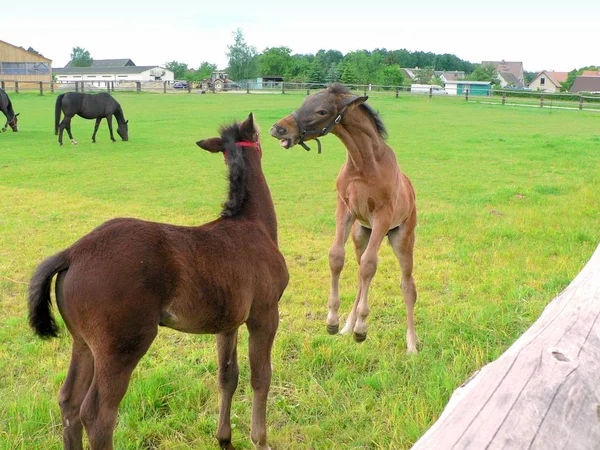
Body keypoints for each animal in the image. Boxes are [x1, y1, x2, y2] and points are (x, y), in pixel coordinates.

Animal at [29, 113, 290, 450]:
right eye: (257, 136)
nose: (278, 132)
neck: (252, 224)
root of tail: (73, 252)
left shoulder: (227, 322)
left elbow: (227, 376)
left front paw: (224, 439)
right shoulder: (264, 314)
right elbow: (261, 377)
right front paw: (260, 440)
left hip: (83, 343)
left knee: (69, 403)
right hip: (122, 346)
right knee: (97, 415)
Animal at [270, 83, 418, 352]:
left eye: (321, 111)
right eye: (304, 101)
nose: (279, 128)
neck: (363, 163)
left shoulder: (382, 215)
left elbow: (371, 265)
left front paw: (362, 329)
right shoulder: (344, 208)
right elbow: (337, 257)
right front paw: (333, 322)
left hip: (402, 238)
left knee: (407, 285)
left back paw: (411, 344)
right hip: (361, 234)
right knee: (361, 275)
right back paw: (348, 326)